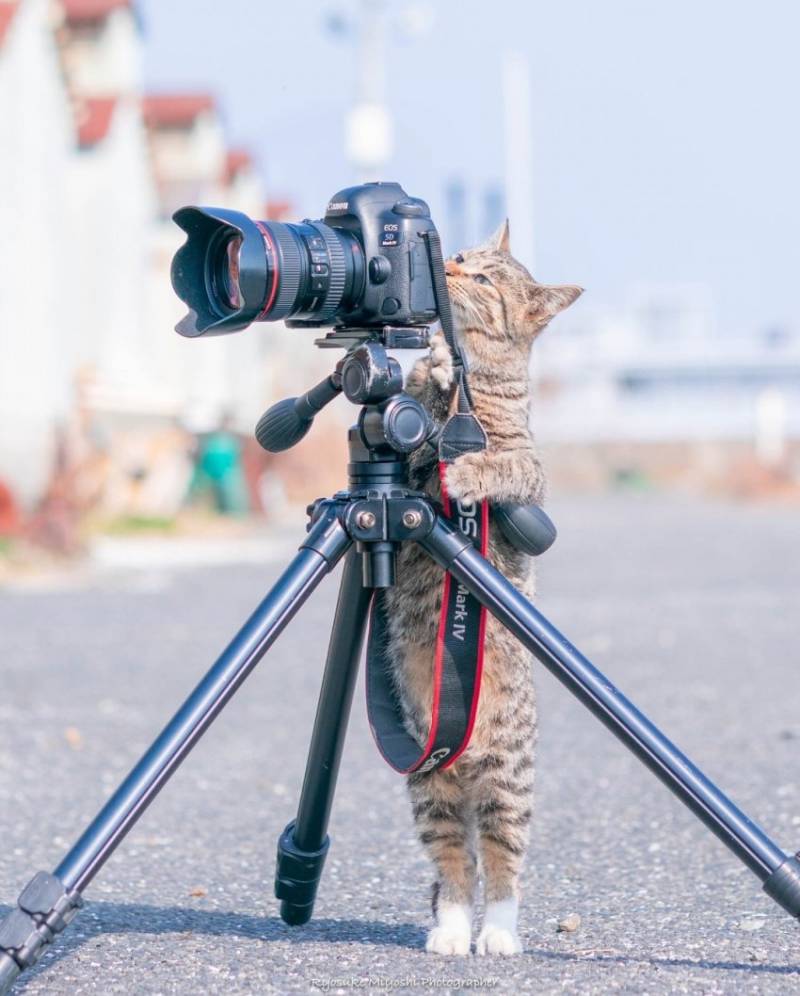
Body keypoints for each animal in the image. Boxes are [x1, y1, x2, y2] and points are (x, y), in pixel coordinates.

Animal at [382, 222, 580, 952]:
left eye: (488, 278)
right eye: (464, 257)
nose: (450, 267)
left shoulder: (527, 468)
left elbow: (500, 463)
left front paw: (467, 468)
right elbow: (414, 415)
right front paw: (434, 365)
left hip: (507, 785)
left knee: (500, 866)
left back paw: (495, 933)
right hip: (427, 786)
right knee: (453, 865)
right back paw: (450, 930)